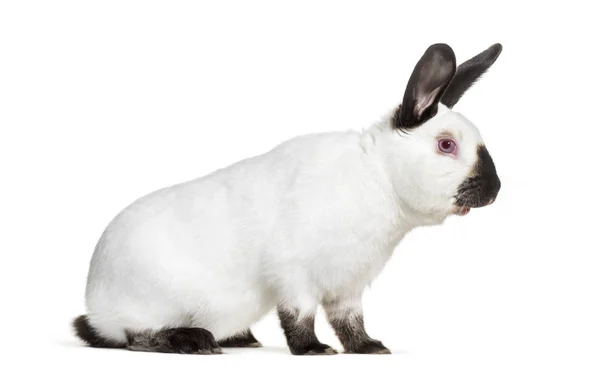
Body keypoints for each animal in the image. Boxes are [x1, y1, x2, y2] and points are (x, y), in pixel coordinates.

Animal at [76, 43, 506, 354]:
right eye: (446, 145)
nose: (495, 189)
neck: (379, 179)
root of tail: (94, 297)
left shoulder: (348, 286)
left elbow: (350, 321)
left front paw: (370, 348)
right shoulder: (294, 273)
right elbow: (299, 316)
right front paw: (313, 350)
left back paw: (241, 339)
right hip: (146, 305)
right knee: (133, 336)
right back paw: (194, 341)